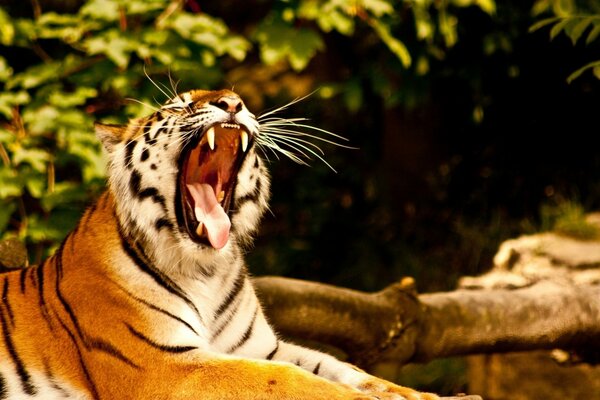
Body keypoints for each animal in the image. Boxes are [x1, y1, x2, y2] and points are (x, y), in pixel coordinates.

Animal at [0, 89, 440, 398]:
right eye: (179, 106)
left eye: (235, 98)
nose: (232, 102)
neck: (204, 268)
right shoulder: (164, 364)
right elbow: (287, 380)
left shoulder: (261, 347)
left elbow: (341, 368)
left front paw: (416, 395)